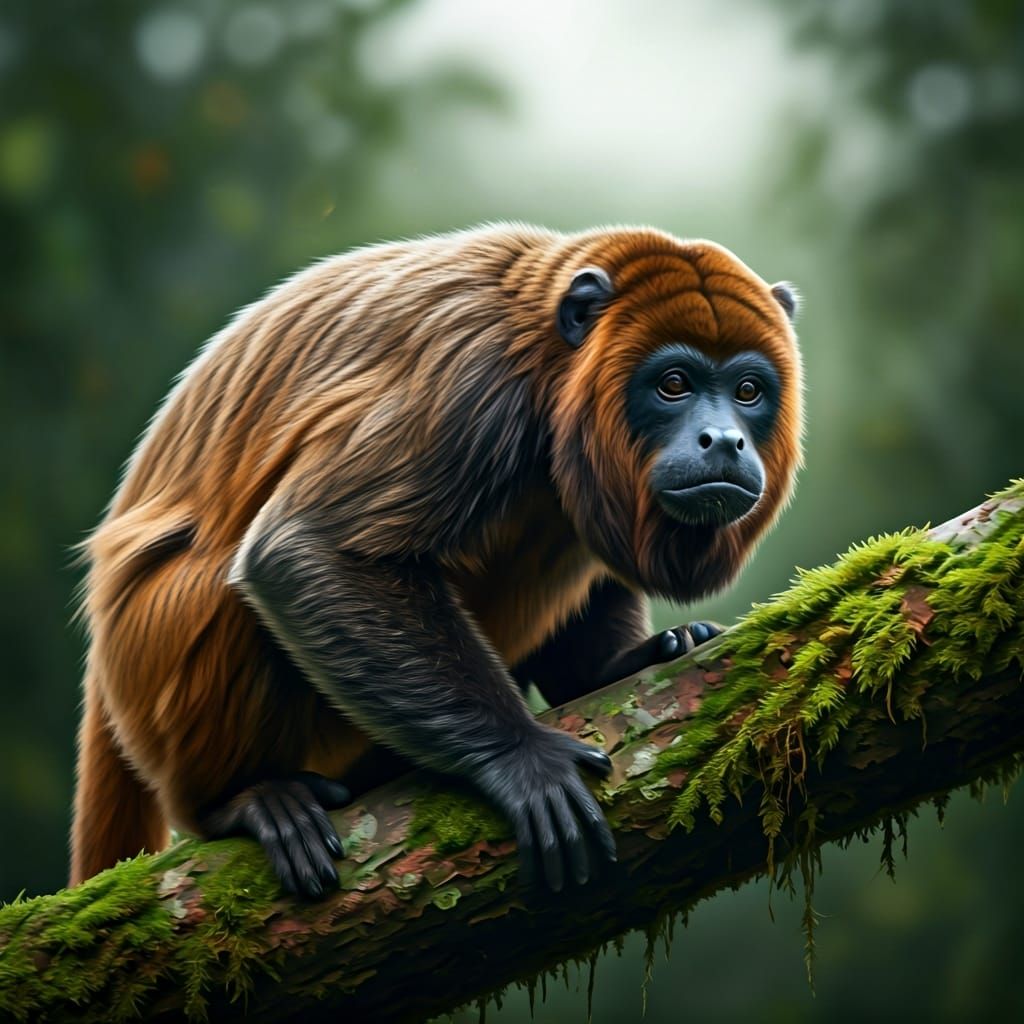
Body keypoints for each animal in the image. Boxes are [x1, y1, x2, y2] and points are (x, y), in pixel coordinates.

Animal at [70, 224, 803, 899]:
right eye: (674, 383)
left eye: (747, 391)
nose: (725, 440)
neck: (548, 354)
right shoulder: (471, 378)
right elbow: (307, 547)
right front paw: (522, 758)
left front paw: (619, 664)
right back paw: (241, 801)